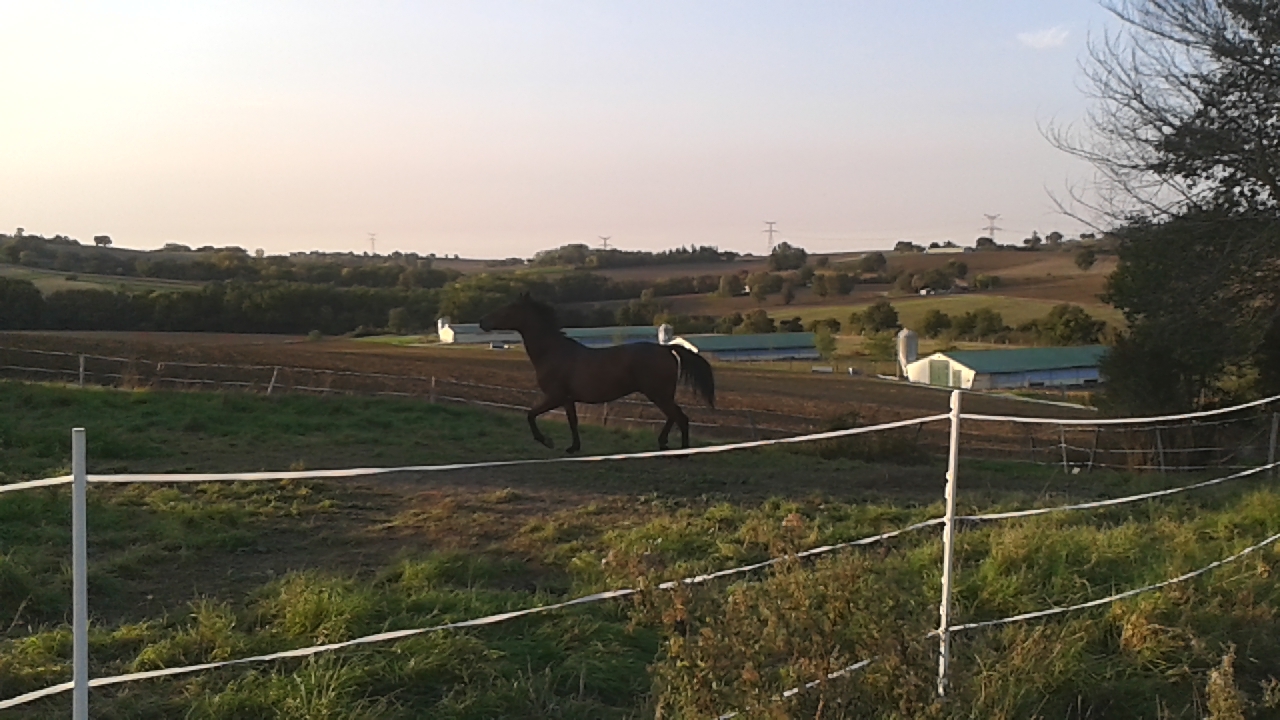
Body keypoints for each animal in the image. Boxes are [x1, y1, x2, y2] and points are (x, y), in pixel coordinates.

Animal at [478, 293, 716, 453]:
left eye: (506, 310)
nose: (482, 322)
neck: (553, 351)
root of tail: (666, 348)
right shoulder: (567, 399)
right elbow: (572, 422)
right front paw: (573, 447)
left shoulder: (554, 396)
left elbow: (531, 415)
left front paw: (547, 441)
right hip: (661, 394)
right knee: (674, 416)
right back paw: (664, 444)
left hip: (658, 394)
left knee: (680, 417)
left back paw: (682, 450)